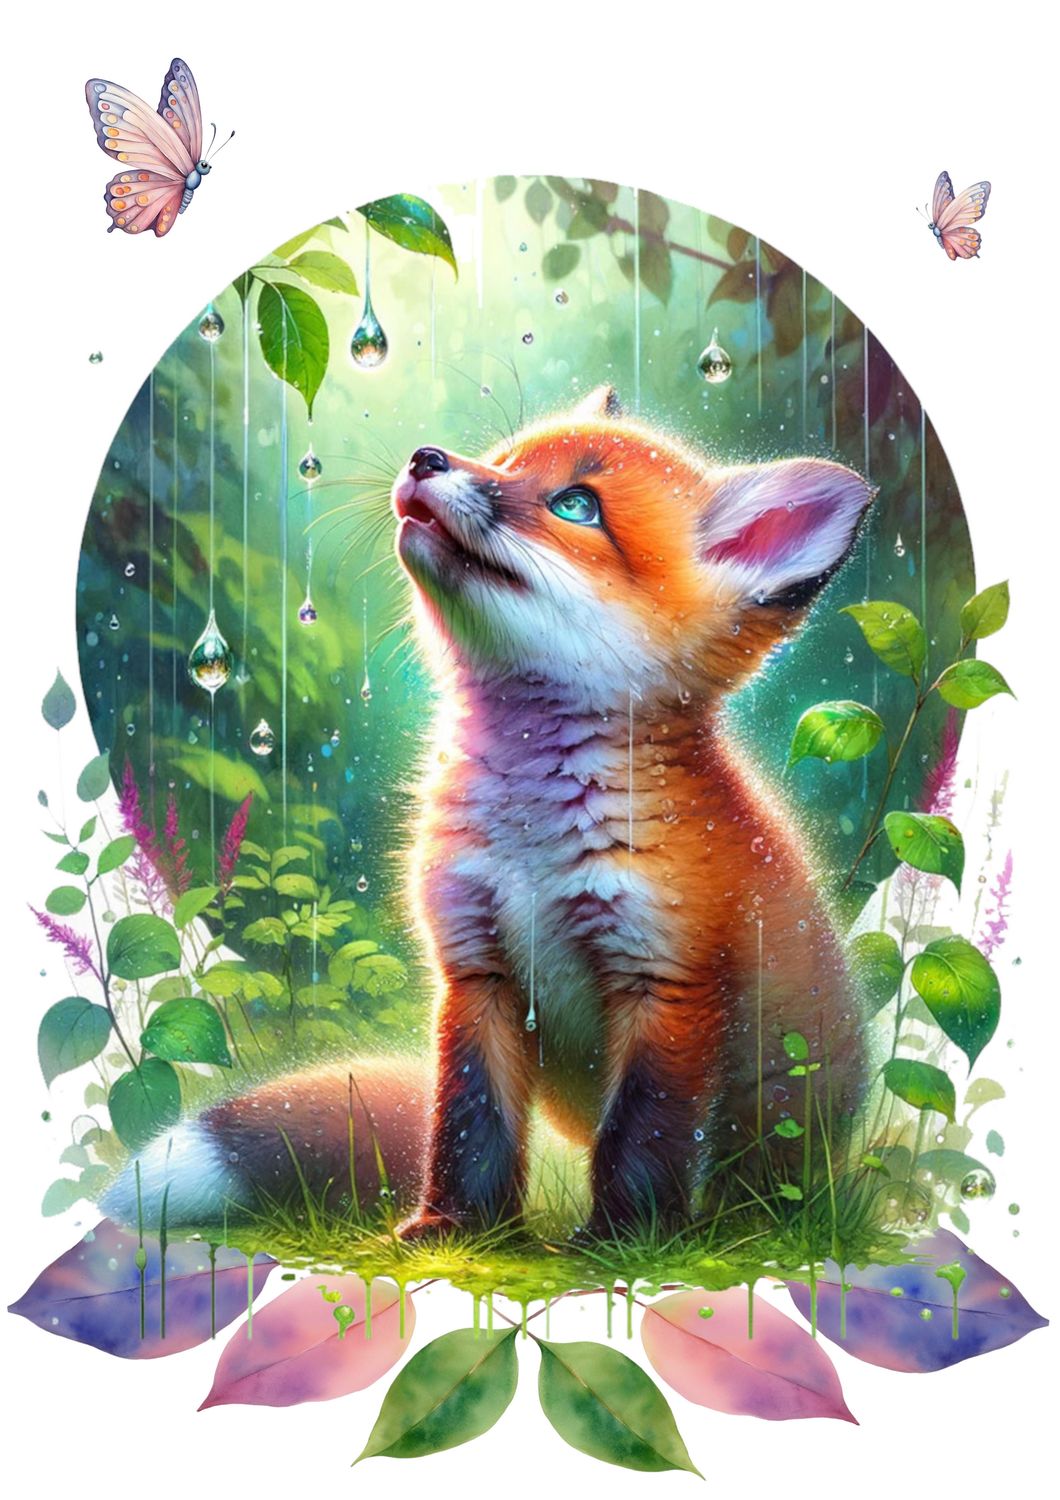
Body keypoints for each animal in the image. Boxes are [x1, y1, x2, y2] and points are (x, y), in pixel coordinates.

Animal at [104, 387, 871, 1237]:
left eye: (576, 505)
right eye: (502, 462)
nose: (426, 458)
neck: (529, 845)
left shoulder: (666, 981)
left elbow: (643, 1134)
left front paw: (621, 1242)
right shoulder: (476, 969)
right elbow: (470, 1122)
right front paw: (453, 1229)